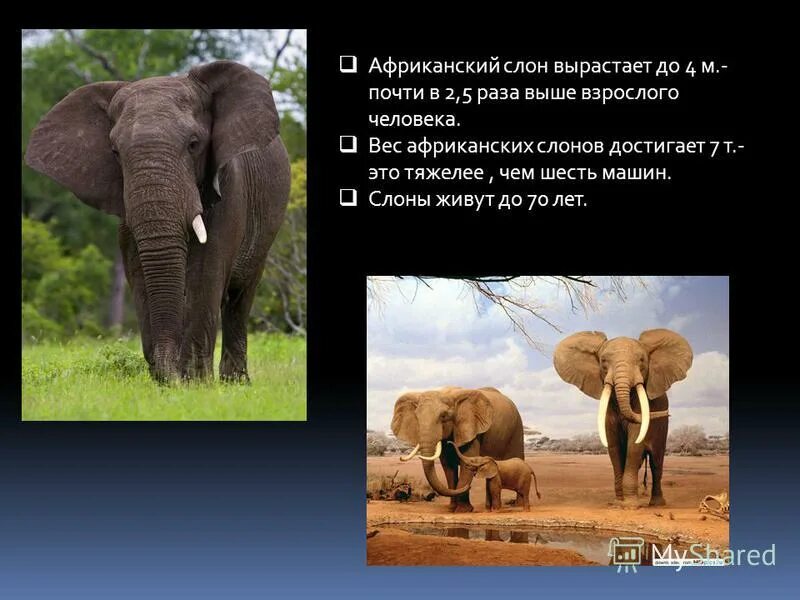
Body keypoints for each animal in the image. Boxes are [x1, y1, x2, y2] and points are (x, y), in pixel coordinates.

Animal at [24, 61, 290, 383]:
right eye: (115, 152)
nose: (170, 375)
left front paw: (195, 383)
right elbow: (138, 271)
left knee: (240, 295)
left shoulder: (231, 187)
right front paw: (167, 381)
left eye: (194, 144)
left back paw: (235, 383)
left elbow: (206, 270)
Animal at [391, 386, 524, 512]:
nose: (470, 486)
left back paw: (517, 505)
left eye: (443, 416)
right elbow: (448, 467)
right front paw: (451, 509)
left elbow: (466, 464)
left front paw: (463, 510)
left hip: (517, 429)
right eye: (417, 418)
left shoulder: (470, 429)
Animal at [554, 329, 693, 507]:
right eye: (603, 361)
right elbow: (613, 446)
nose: (668, 412)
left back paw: (656, 504)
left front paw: (630, 506)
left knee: (656, 462)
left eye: (642, 360)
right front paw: (618, 503)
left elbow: (634, 443)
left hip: (663, 427)